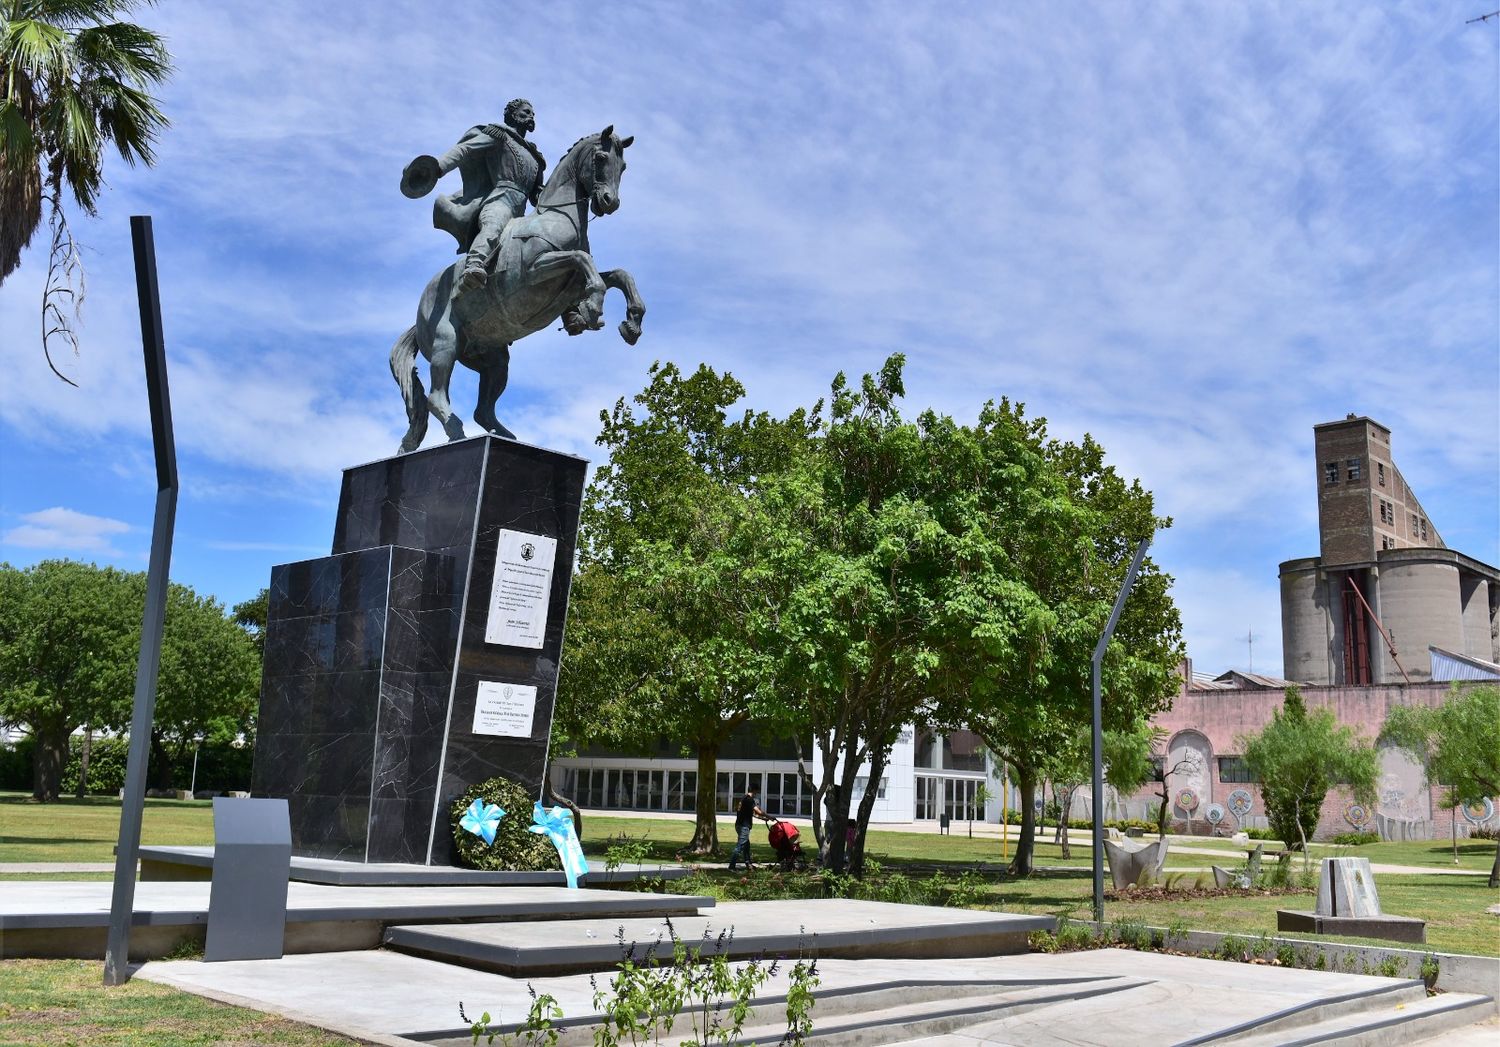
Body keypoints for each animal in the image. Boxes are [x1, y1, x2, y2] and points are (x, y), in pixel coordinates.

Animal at [390, 124, 642, 450]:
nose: (610, 202)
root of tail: (418, 315)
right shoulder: (536, 271)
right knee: (436, 397)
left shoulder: (572, 285)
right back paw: (457, 433)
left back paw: (504, 436)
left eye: (623, 166)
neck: (557, 217)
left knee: (483, 410)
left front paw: (631, 323)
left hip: (494, 360)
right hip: (445, 344)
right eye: (600, 158)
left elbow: (620, 275)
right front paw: (592, 309)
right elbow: (582, 260)